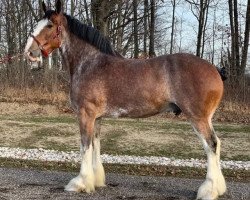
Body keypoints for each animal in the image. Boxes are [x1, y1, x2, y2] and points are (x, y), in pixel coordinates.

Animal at [24, 0, 227, 199]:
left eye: (50, 25)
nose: (29, 53)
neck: (89, 63)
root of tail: (215, 69)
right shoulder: (97, 117)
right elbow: (95, 145)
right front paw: (95, 180)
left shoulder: (85, 114)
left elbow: (84, 147)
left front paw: (80, 183)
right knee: (216, 145)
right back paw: (217, 188)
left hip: (198, 117)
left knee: (211, 145)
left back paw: (209, 190)